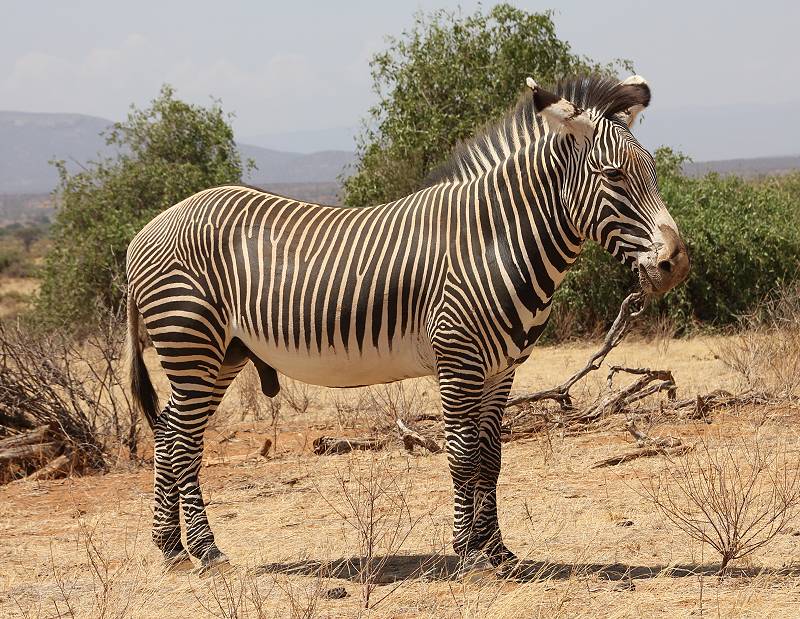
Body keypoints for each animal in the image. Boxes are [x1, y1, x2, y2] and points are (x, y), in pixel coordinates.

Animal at [128, 75, 692, 572]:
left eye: (653, 171)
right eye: (614, 175)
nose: (676, 265)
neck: (494, 242)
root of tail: (147, 228)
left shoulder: (501, 368)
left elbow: (491, 455)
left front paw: (498, 551)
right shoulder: (458, 356)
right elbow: (462, 452)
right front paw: (468, 554)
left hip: (222, 354)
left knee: (172, 433)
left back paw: (173, 547)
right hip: (191, 343)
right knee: (180, 438)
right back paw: (201, 551)